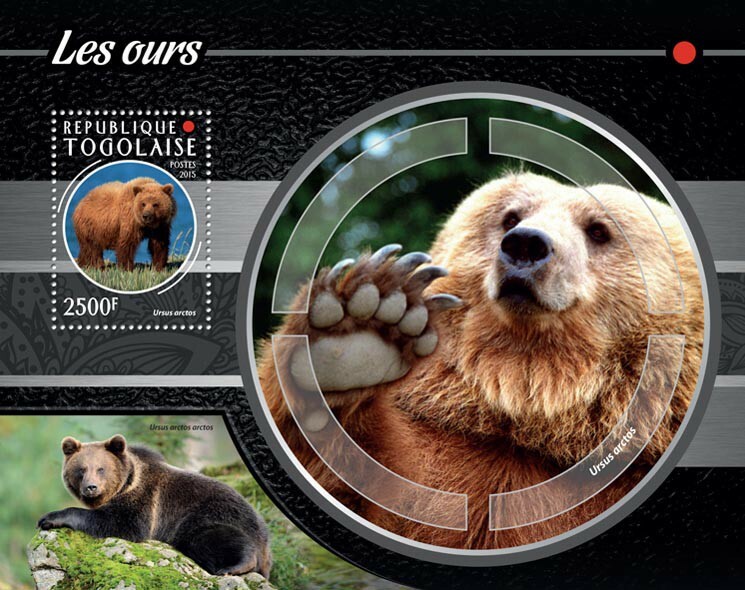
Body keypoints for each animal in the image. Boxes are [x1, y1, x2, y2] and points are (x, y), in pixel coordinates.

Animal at [37, 434, 272, 578]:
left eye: (101, 468)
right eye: (81, 469)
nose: (91, 487)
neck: (126, 483)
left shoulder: (145, 500)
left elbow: (120, 523)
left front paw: (49, 518)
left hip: (212, 515)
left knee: (207, 538)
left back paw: (233, 567)